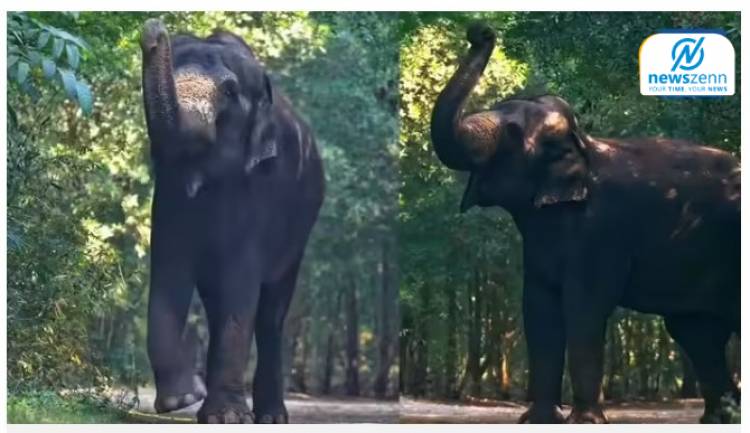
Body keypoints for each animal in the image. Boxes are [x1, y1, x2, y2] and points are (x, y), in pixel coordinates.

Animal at [140, 19, 324, 423]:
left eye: (229, 90)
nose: (153, 29)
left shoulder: (262, 189)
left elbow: (240, 280)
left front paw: (224, 417)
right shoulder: (169, 191)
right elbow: (168, 267)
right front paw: (182, 399)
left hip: (300, 232)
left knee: (271, 313)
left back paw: (271, 418)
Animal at [430, 23, 740, 424]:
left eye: (513, 132)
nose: (480, 30)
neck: (584, 145)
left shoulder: (601, 232)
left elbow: (584, 306)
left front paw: (585, 421)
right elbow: (538, 307)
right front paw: (538, 419)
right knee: (696, 332)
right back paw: (719, 418)